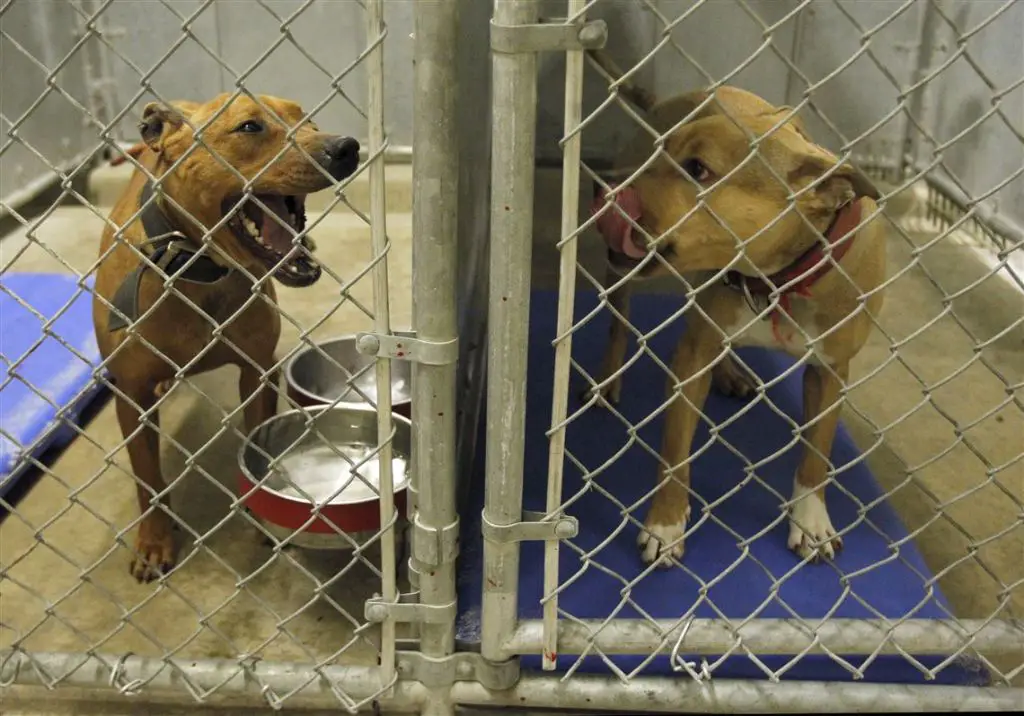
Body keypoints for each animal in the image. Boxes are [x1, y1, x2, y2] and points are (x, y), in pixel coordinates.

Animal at [589, 53, 884, 565]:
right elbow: (675, 451)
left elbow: (817, 454)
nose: (603, 189)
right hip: (623, 280)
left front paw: (811, 521)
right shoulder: (689, 361)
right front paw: (665, 524)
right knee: (619, 322)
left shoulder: (831, 373)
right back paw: (609, 380)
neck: (780, 279)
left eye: (698, 169)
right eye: (663, 151)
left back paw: (729, 372)